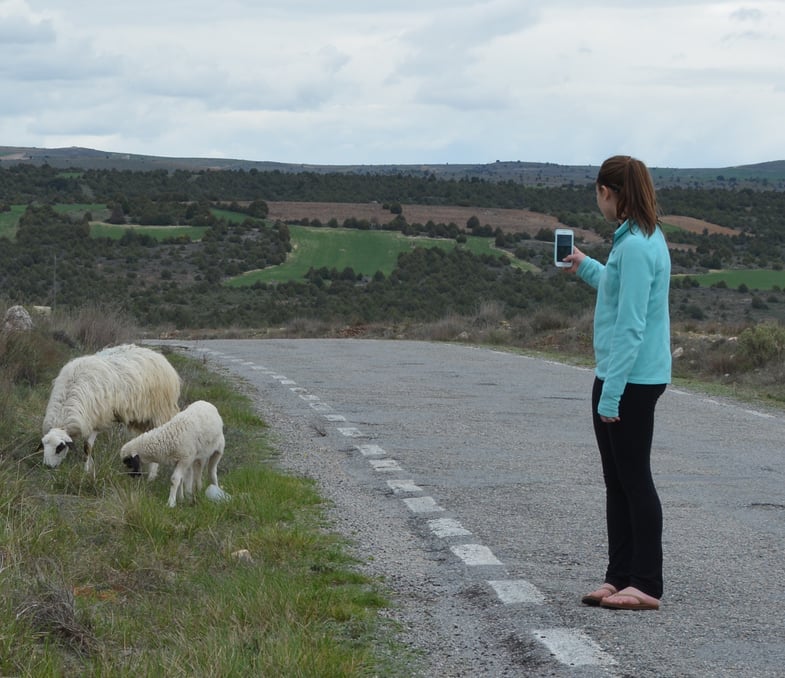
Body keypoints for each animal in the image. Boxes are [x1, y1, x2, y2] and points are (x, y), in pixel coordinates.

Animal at [41, 342, 181, 476]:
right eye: (43, 445)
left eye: (59, 448)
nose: (48, 467)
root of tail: (158, 355)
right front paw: (89, 469)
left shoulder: (98, 417)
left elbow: (87, 447)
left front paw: (86, 471)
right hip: (142, 420)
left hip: (160, 412)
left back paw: (151, 477)